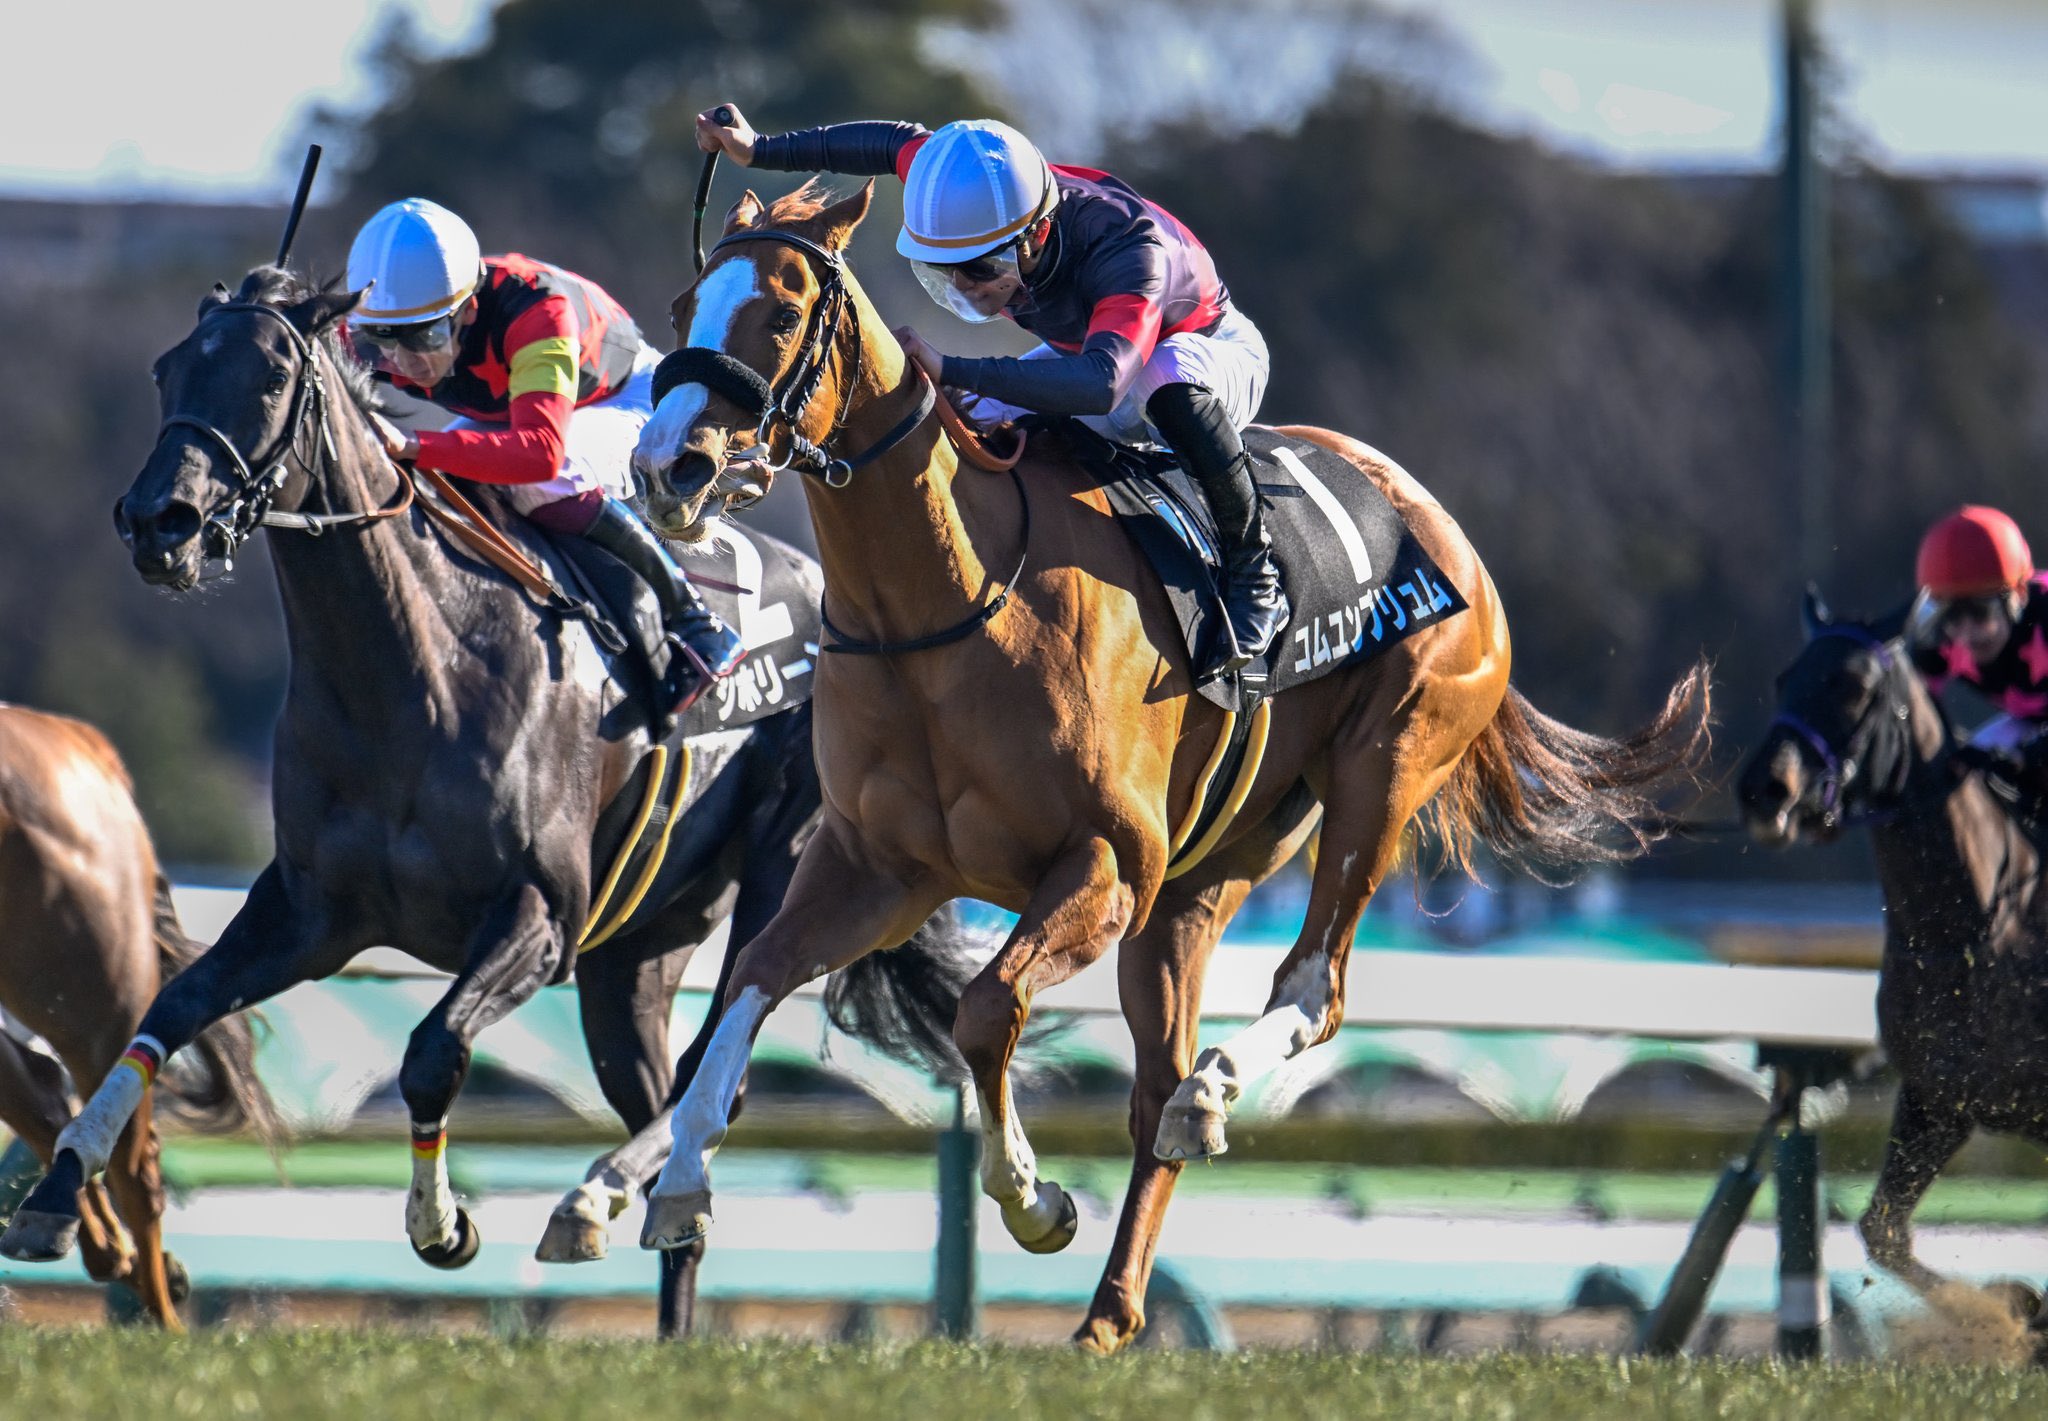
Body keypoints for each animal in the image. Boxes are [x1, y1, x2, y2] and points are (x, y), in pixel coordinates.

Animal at [622, 181, 1712, 1359]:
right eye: (683, 304)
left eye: (780, 313)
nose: (667, 467)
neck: (948, 600)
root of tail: (1438, 520)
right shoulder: (878, 866)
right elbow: (753, 975)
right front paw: (675, 1185)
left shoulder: (1105, 864)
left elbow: (985, 1012)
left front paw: (1033, 1196)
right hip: (1206, 876)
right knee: (1153, 1082)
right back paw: (1111, 1306)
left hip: (1382, 768)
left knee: (1306, 990)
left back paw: (1210, 1097)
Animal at [1744, 589, 2048, 1326]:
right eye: (1783, 679)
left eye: (1853, 685)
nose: (1764, 788)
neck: (1978, 926)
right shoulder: (1939, 1099)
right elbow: (1881, 1229)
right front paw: (2011, 1313)